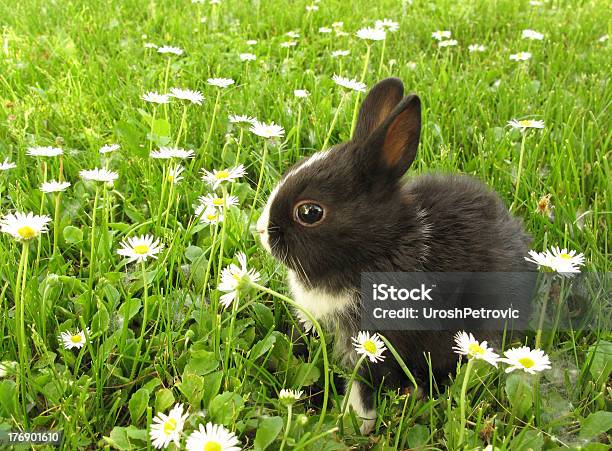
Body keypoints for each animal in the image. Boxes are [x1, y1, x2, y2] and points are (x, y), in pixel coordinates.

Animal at [256, 78, 528, 434]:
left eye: (310, 212)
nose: (260, 231)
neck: (379, 246)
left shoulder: (376, 339)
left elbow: (364, 381)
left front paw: (352, 423)